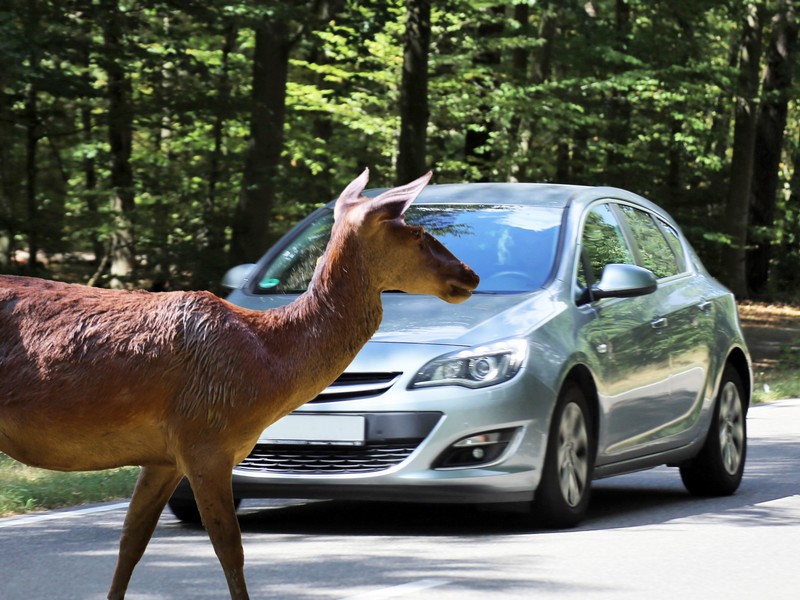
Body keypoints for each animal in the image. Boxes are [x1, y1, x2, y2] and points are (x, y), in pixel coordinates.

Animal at [0, 170, 476, 600]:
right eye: (416, 232)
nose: (469, 273)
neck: (267, 364)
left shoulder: (165, 454)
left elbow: (131, 543)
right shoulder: (206, 437)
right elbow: (230, 549)